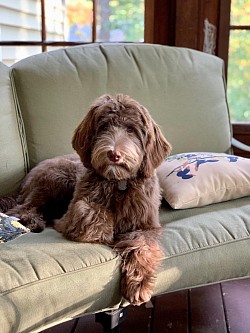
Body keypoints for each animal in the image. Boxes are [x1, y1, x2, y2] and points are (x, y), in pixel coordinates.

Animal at [0, 93, 171, 304]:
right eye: (104, 127)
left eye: (131, 130)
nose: (114, 154)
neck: (118, 183)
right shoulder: (71, 215)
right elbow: (89, 211)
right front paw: (106, 229)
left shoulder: (147, 225)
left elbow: (143, 244)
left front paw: (138, 284)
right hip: (56, 178)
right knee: (21, 208)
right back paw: (32, 220)